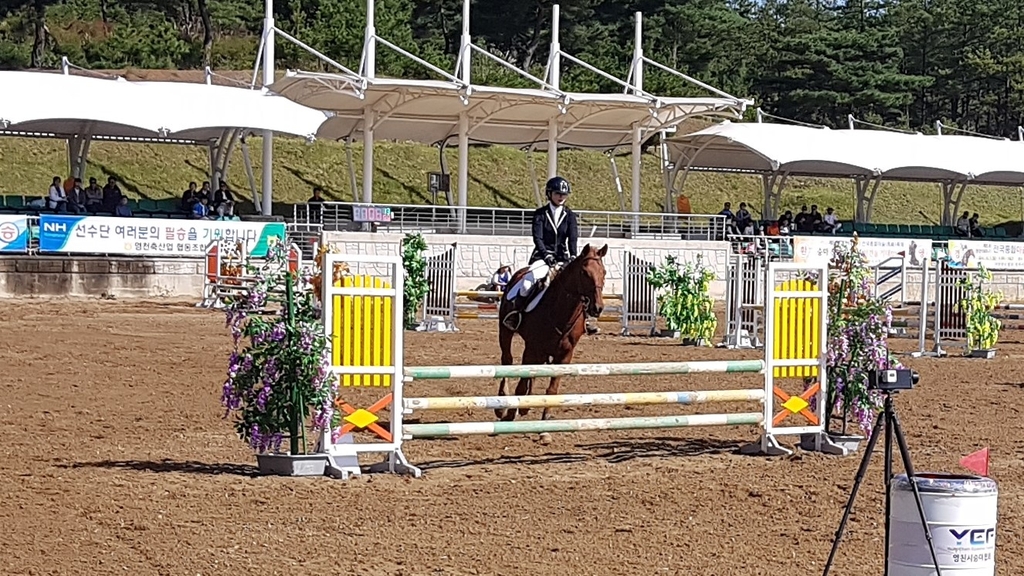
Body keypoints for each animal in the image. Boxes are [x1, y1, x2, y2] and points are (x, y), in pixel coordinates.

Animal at [495, 239, 606, 420]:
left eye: (603, 272)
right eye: (584, 272)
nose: (597, 308)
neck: (560, 312)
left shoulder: (565, 354)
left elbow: (552, 389)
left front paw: (545, 419)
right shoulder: (532, 349)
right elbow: (521, 384)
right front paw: (510, 415)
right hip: (506, 331)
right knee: (507, 360)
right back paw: (502, 404)